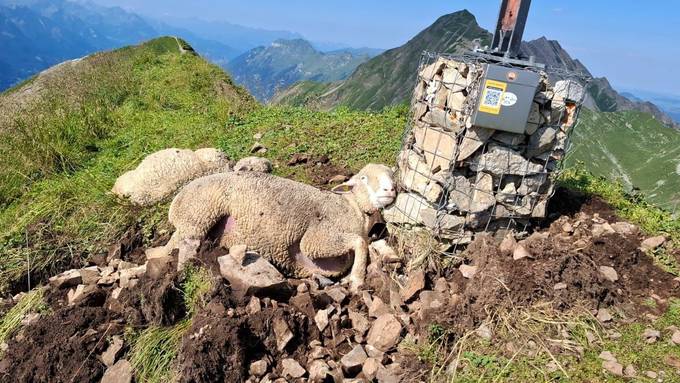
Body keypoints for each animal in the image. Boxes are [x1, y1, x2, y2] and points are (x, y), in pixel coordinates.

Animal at [146, 164, 396, 292]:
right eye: (364, 178)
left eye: (391, 174)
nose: (391, 190)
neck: (354, 209)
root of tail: (176, 202)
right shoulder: (316, 239)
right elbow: (359, 242)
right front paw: (357, 280)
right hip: (198, 214)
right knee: (187, 248)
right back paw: (181, 275)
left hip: (192, 222)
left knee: (174, 245)